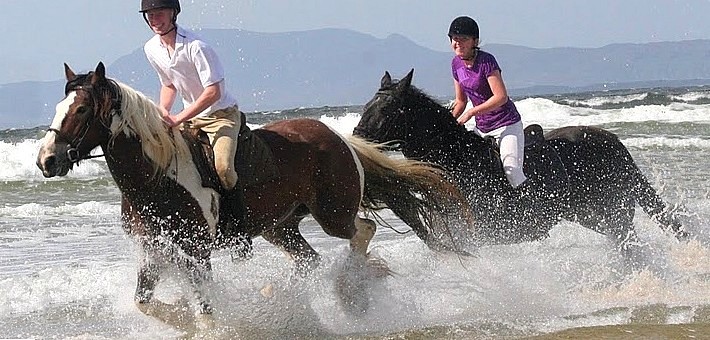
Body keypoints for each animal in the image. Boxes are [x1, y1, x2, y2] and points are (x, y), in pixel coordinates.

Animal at [37, 63, 472, 316]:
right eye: (58, 108)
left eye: (81, 110)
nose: (46, 160)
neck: (155, 180)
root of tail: (339, 138)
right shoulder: (154, 249)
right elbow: (144, 303)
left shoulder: (196, 251)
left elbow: (205, 305)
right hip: (279, 227)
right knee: (309, 261)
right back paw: (279, 294)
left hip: (332, 214)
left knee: (362, 231)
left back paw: (349, 288)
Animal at [356, 70, 688, 258]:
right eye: (366, 105)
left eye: (387, 108)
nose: (356, 140)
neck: (457, 162)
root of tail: (611, 140)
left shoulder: (478, 236)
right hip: (591, 215)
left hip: (614, 211)